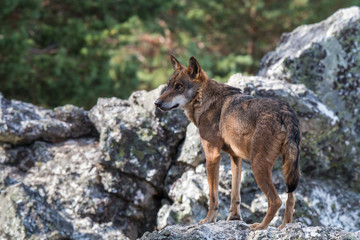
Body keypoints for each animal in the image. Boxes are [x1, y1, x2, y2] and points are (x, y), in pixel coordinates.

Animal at [155, 55, 300, 230]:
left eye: (179, 86)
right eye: (168, 85)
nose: (157, 103)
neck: (204, 101)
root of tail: (286, 110)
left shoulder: (212, 156)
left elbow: (213, 196)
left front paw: (208, 220)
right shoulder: (236, 158)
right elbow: (235, 195)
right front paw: (234, 218)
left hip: (258, 166)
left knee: (276, 200)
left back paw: (260, 227)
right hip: (288, 167)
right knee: (291, 199)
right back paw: (285, 227)